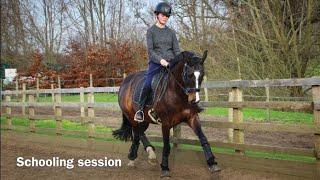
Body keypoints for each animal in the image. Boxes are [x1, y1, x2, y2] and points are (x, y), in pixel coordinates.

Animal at [112, 50, 220, 178]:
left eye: (202, 75)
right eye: (189, 75)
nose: (194, 100)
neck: (176, 93)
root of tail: (125, 81)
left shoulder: (192, 118)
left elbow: (203, 138)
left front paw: (212, 163)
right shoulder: (166, 123)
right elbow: (167, 146)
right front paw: (164, 169)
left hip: (145, 120)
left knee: (139, 133)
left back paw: (143, 156)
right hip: (132, 117)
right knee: (138, 133)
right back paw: (140, 156)